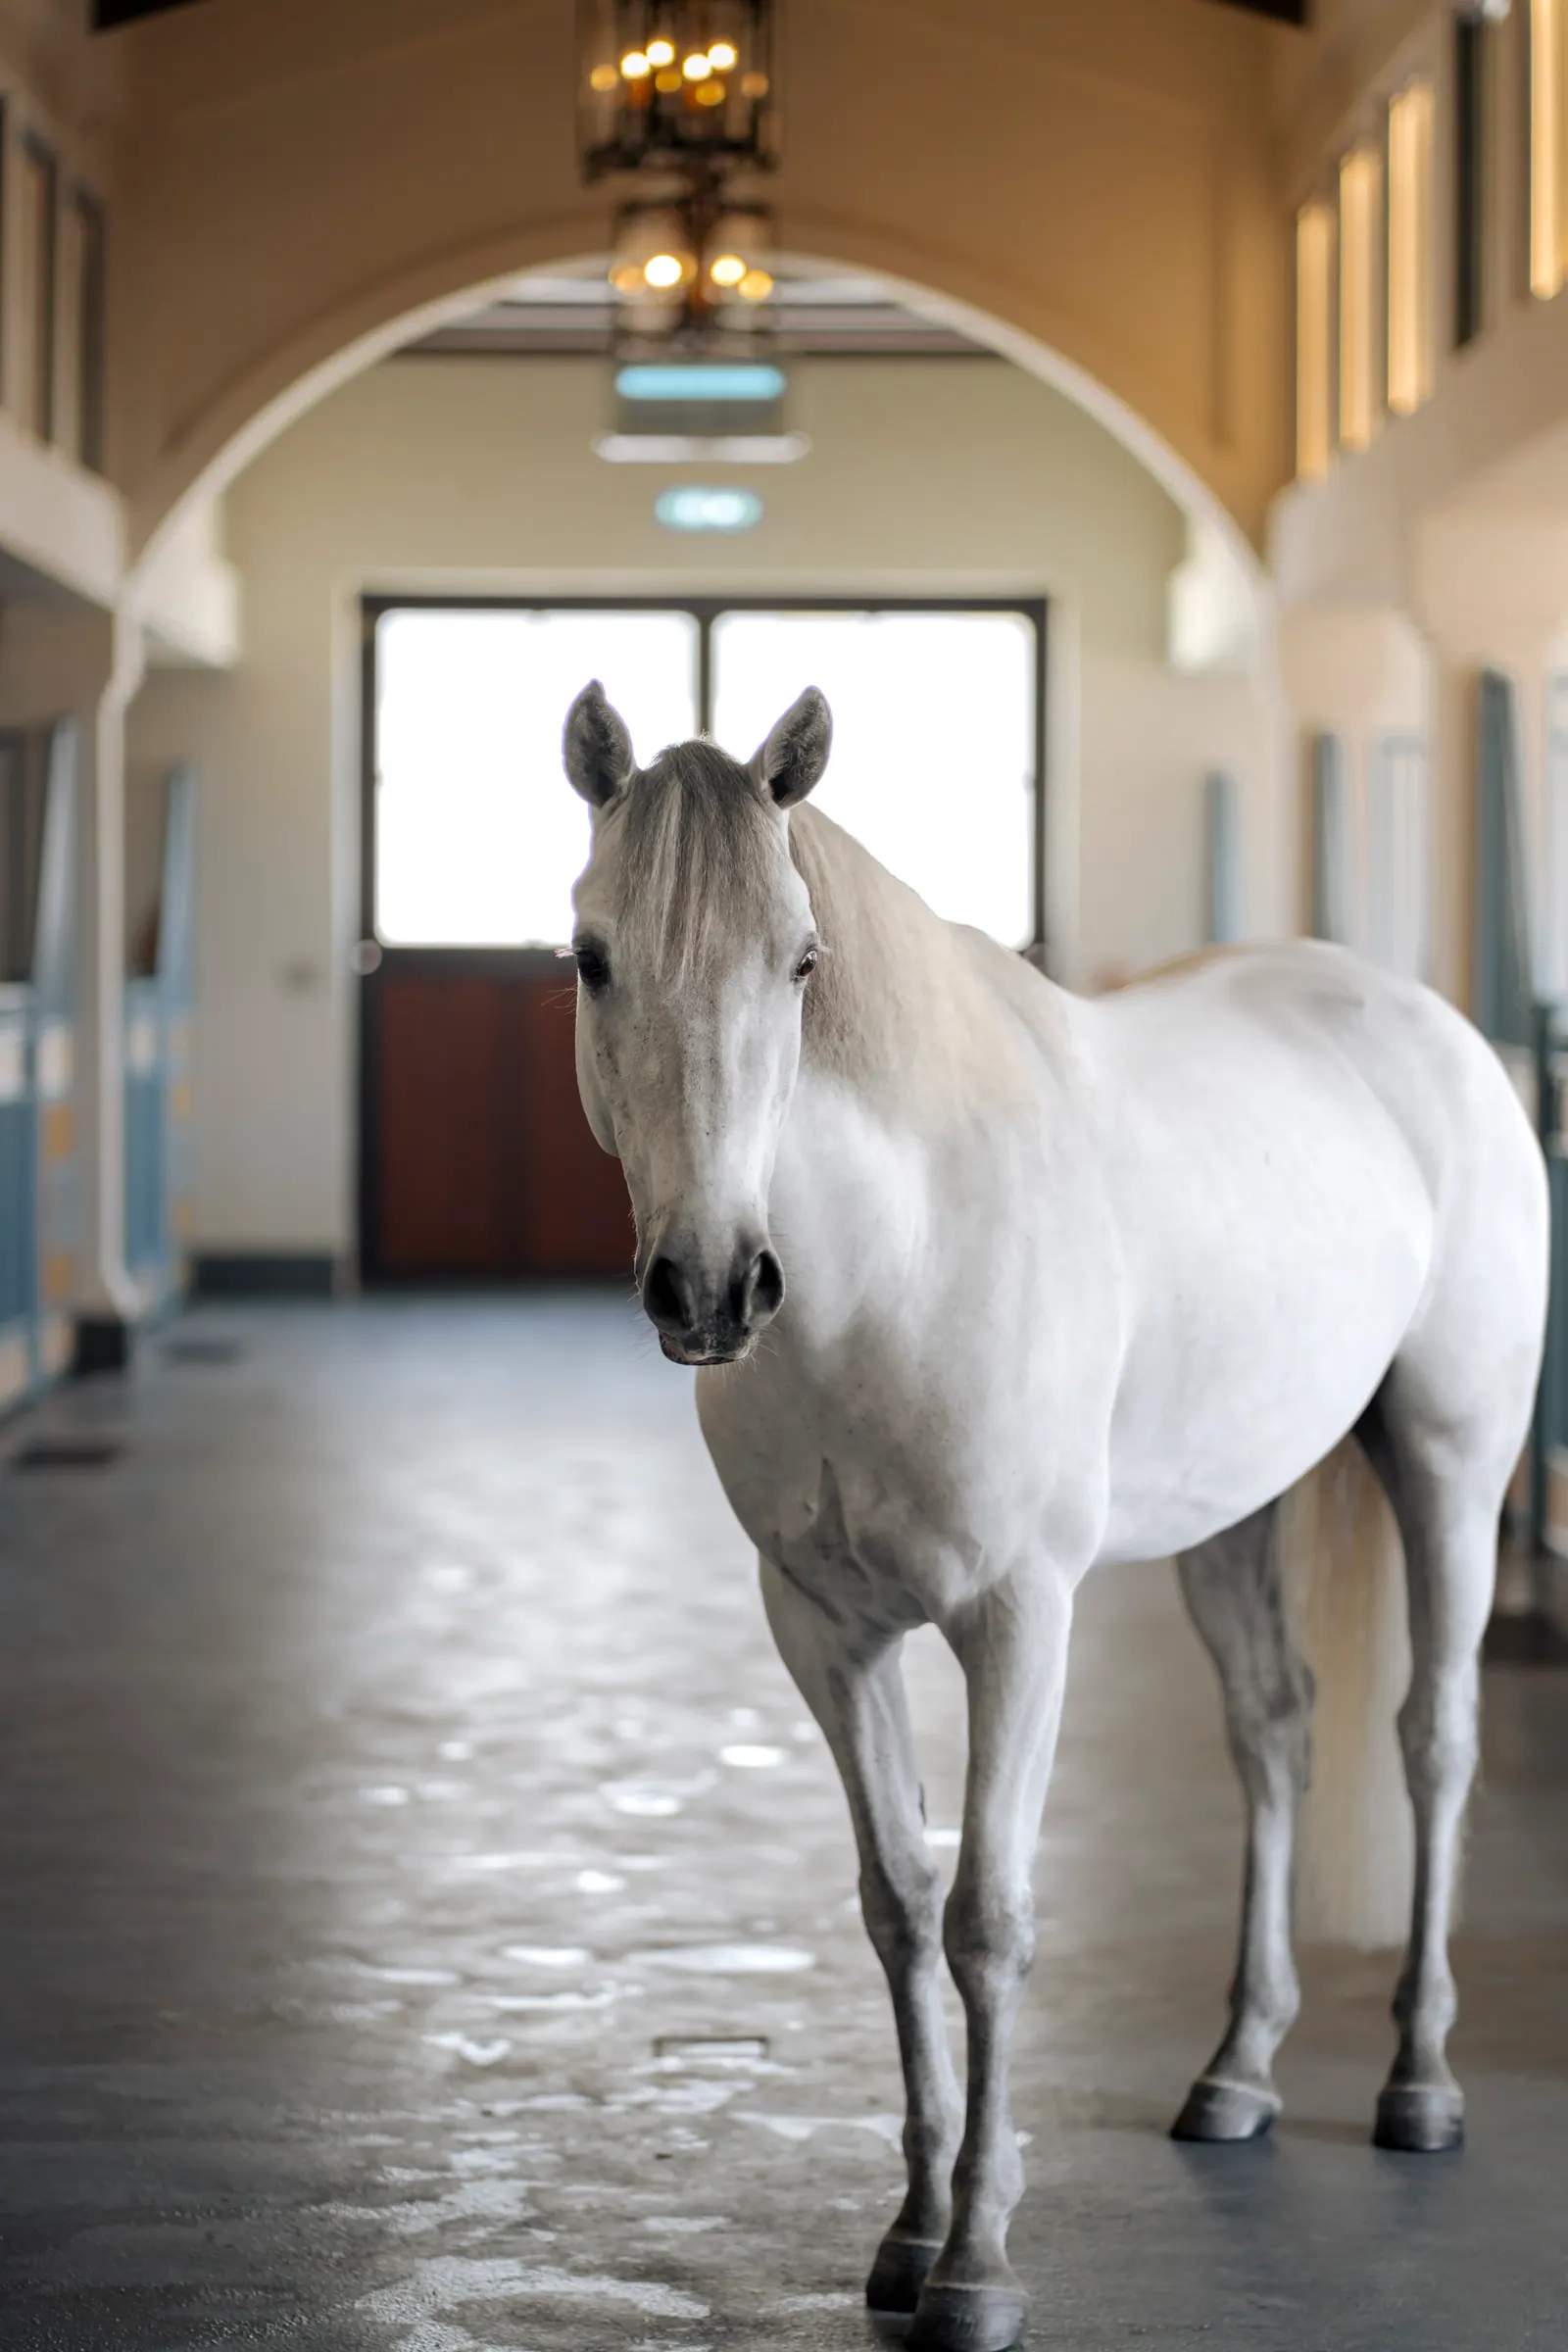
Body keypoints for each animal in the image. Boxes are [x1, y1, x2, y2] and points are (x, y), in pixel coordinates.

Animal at [559, 678, 1548, 2352]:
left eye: (803, 961)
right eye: (590, 954)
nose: (711, 1286)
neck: (896, 1265)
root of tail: (1427, 1029)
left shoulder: (1017, 1619)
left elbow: (991, 1921)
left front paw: (978, 2267)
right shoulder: (825, 1633)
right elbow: (898, 1904)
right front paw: (906, 2234)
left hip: (1450, 1465)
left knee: (1437, 1741)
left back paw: (1419, 2084)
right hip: (1232, 1508)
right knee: (1274, 1732)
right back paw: (1239, 2074)